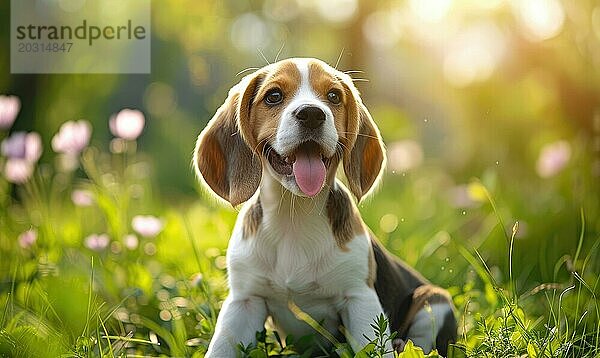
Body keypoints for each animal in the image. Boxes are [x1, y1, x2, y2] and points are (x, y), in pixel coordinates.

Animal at [195, 58, 458, 356]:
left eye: (333, 96)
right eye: (273, 96)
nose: (311, 114)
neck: (294, 216)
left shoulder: (360, 299)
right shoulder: (244, 302)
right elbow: (221, 347)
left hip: (434, 301)